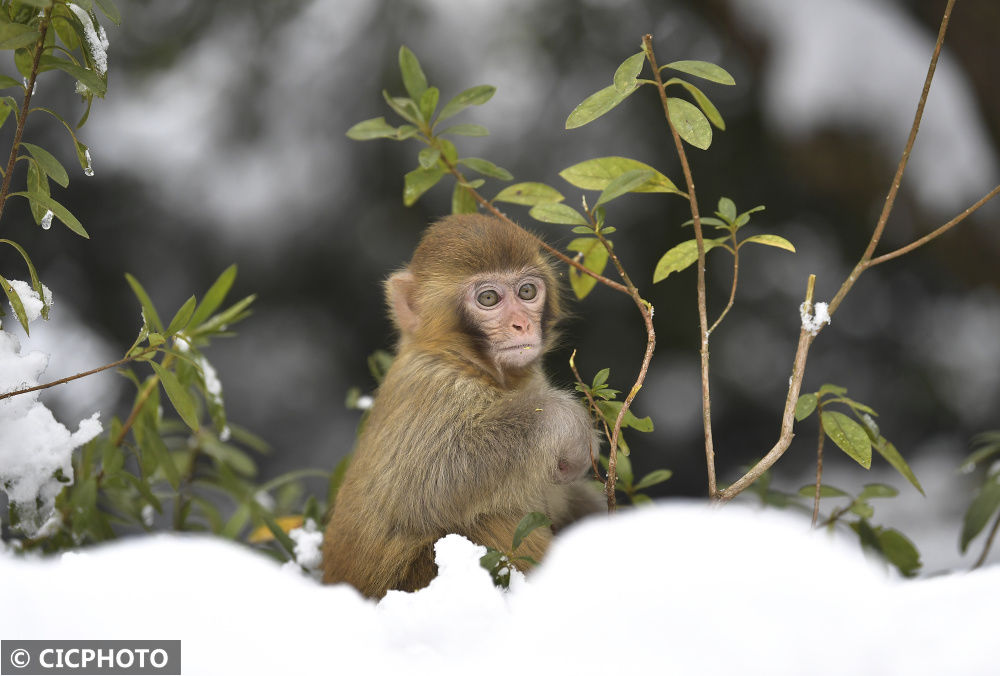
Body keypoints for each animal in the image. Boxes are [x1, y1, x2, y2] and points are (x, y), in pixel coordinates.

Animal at [320, 213, 600, 596]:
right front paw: (566, 421)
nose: (522, 324)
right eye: (489, 298)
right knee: (488, 521)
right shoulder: (437, 389)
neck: (471, 365)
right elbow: (426, 487)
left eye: (527, 291)